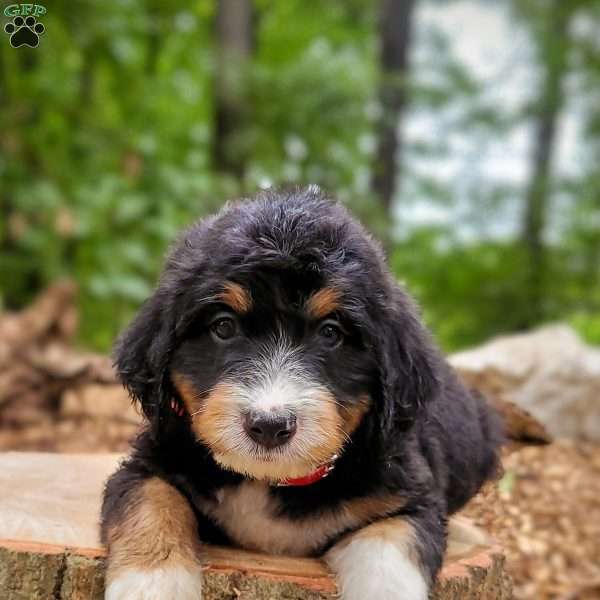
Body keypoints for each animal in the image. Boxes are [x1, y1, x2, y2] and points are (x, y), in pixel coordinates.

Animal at [99, 185, 502, 596]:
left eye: (331, 333)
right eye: (223, 326)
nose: (269, 426)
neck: (270, 481)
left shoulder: (408, 500)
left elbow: (390, 551)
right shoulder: (148, 465)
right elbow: (152, 504)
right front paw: (150, 586)